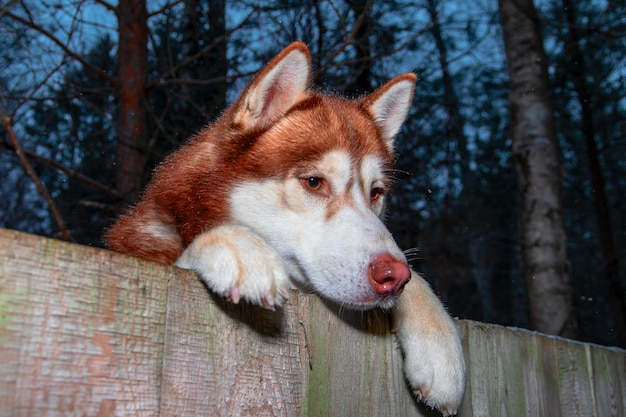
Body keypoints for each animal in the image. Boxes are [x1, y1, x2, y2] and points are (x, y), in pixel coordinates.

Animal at [105, 41, 460, 412]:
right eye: (314, 182)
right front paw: (239, 246)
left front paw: (440, 350)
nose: (393, 275)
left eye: (376, 192)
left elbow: (417, 279)